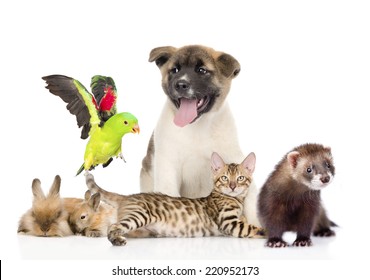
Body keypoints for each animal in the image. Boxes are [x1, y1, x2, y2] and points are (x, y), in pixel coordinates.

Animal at [141, 44, 260, 226]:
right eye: (175, 70)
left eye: (202, 70)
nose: (181, 84)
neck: (198, 127)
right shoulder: (167, 169)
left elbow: (252, 206)